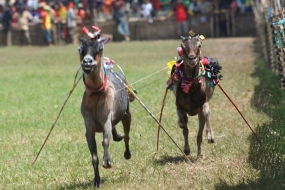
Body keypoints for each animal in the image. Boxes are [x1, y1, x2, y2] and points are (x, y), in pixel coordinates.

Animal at [77, 36, 131, 187]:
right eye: (80, 49)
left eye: (100, 48)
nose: (87, 61)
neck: (97, 94)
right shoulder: (89, 126)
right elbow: (94, 156)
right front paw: (96, 180)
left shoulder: (106, 119)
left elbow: (106, 140)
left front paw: (107, 162)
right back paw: (118, 136)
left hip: (126, 112)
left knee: (127, 134)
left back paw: (127, 153)